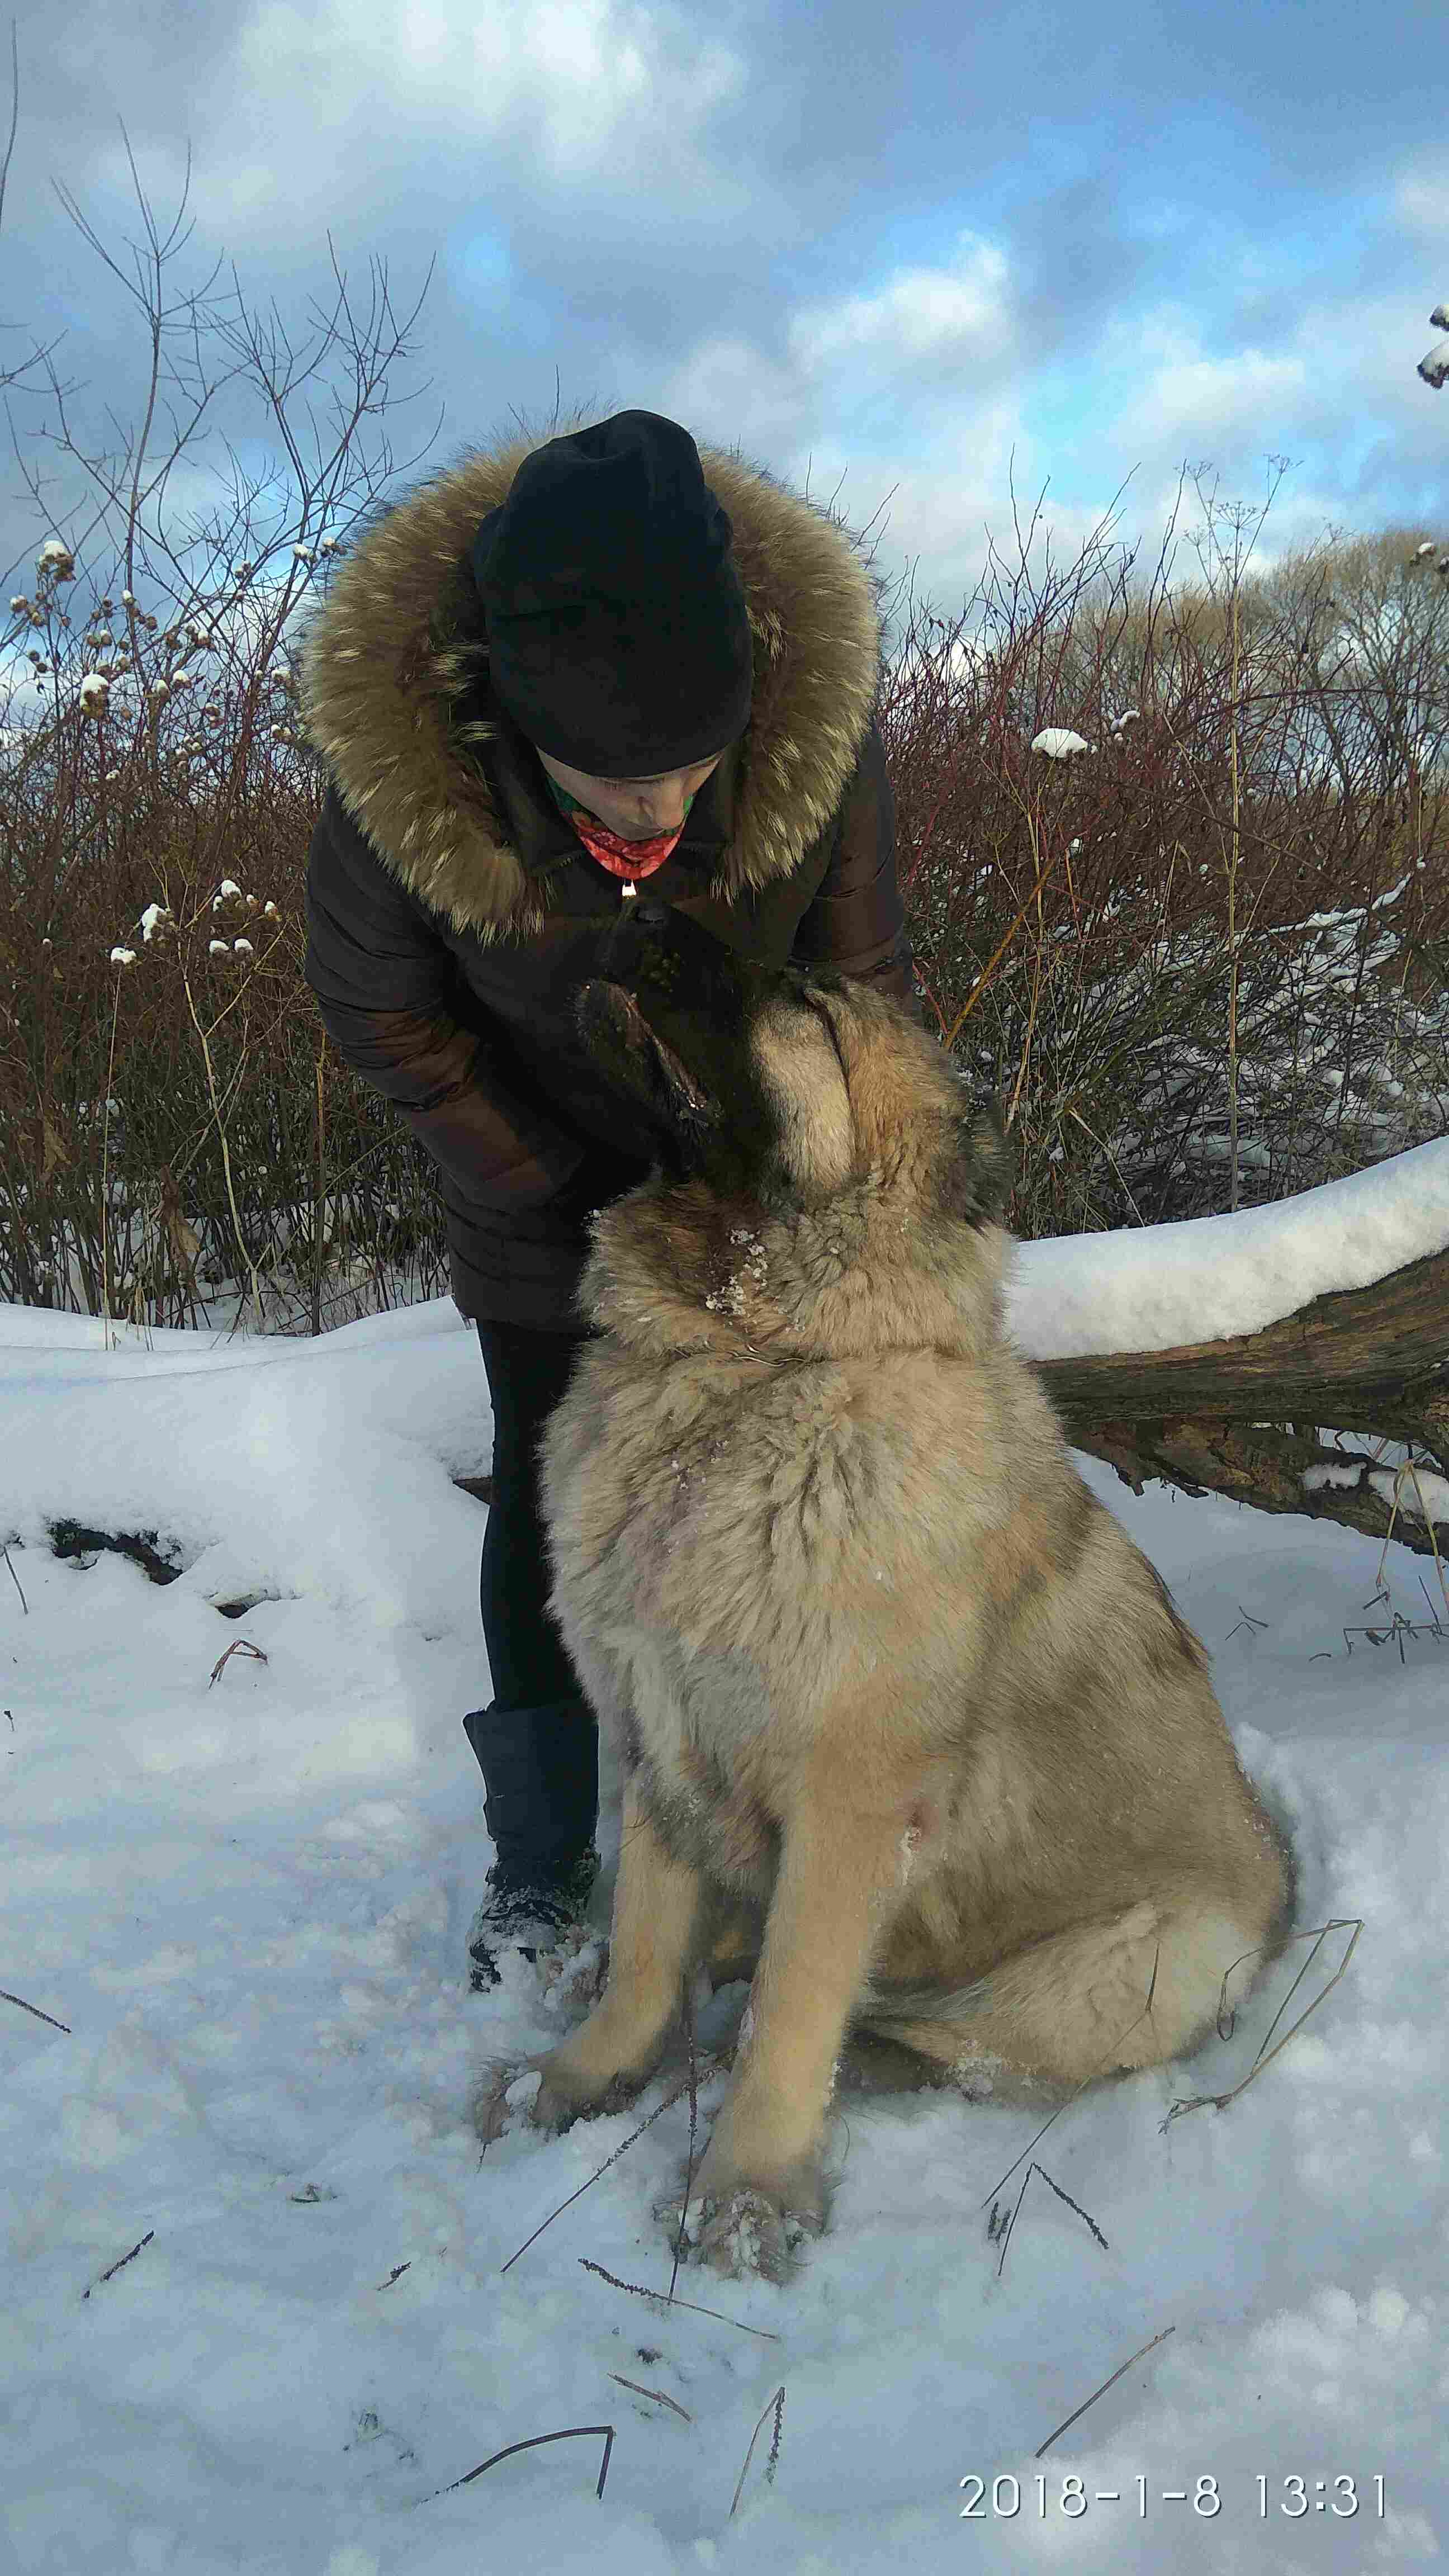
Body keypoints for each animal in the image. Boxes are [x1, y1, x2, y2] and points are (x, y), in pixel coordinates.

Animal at [472, 901, 1284, 2277]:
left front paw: (746, 2194)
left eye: (804, 999)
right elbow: (642, 1949)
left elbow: (793, 2010)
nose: (644, 909)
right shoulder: (656, 1733)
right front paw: (583, 2076)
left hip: (1158, 1955)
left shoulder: (849, 1800)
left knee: (939, 2036)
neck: (748, 1366)